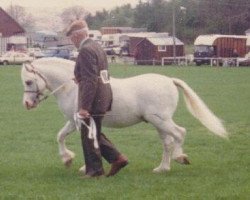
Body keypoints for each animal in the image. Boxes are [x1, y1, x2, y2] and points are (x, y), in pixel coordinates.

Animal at [21, 57, 228, 173]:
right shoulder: (74, 121)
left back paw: (180, 158)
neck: (74, 87)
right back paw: (162, 168)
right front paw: (68, 159)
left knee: (180, 133)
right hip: (158, 123)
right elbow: (61, 136)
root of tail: (170, 80)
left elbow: (86, 143)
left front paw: (82, 165)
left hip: (160, 120)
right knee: (168, 142)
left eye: (29, 82)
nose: (27, 104)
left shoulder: (80, 120)